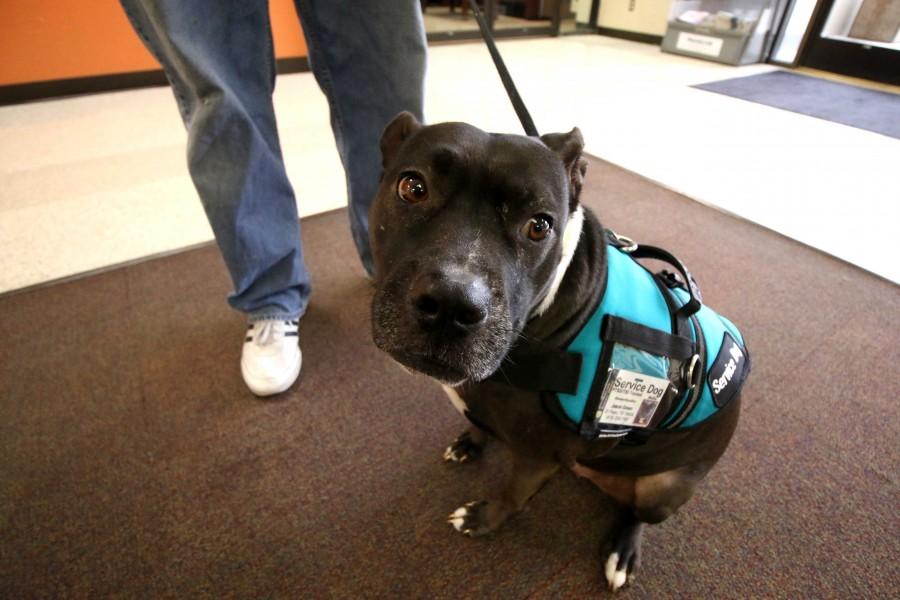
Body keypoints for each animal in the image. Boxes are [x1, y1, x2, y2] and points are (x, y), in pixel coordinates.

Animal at [370, 112, 740, 592]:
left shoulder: (538, 458)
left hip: (664, 489)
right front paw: (470, 442)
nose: (452, 304)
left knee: (638, 513)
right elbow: (478, 423)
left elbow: (513, 495)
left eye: (539, 225)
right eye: (413, 187)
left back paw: (622, 551)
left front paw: (483, 518)